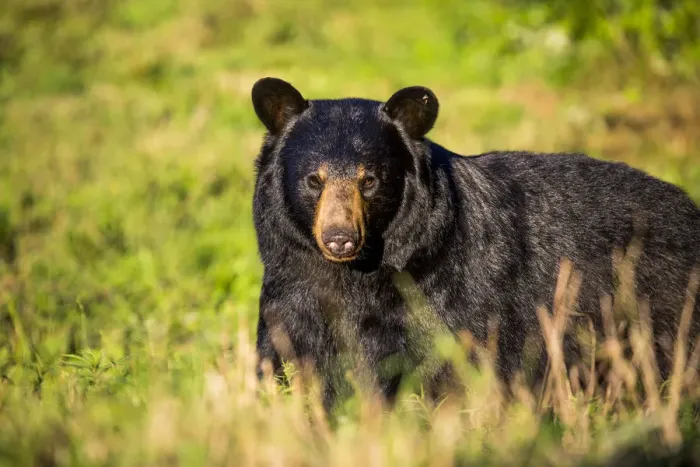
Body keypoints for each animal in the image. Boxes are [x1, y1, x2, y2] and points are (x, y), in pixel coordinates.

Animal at [250, 77, 700, 412]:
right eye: (314, 179)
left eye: (370, 180)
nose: (340, 238)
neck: (356, 272)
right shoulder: (291, 286)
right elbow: (282, 352)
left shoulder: (442, 292)